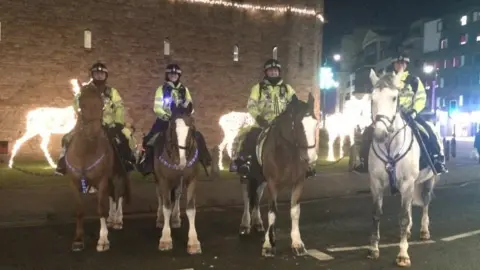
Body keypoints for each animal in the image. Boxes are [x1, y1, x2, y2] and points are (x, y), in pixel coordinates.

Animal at [65, 83, 131, 253]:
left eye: (101, 105)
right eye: (82, 104)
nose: (95, 132)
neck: (85, 152)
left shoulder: (102, 181)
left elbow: (101, 209)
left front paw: (103, 240)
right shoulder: (73, 183)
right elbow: (79, 210)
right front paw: (78, 239)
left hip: (118, 176)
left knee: (118, 195)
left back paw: (117, 220)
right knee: (113, 196)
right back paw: (111, 219)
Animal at [152, 104, 201, 254]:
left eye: (192, 128)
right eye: (173, 128)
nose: (182, 161)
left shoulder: (192, 179)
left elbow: (190, 209)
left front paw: (193, 242)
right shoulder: (164, 180)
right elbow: (166, 206)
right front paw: (165, 239)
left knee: (178, 195)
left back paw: (175, 219)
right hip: (158, 179)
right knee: (160, 197)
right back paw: (160, 219)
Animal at [240, 94, 318, 256]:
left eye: (316, 123)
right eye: (299, 125)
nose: (312, 158)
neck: (287, 153)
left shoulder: (298, 183)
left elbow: (295, 211)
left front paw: (297, 243)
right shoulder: (272, 183)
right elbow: (272, 211)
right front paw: (268, 244)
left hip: (261, 180)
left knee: (256, 197)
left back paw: (258, 223)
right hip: (246, 177)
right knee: (247, 198)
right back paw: (245, 225)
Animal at [366, 68, 436, 266]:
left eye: (394, 98)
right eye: (372, 98)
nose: (380, 134)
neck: (391, 146)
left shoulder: (406, 183)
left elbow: (403, 217)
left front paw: (403, 254)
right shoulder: (376, 183)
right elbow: (376, 214)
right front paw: (374, 249)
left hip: (427, 181)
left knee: (425, 203)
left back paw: (424, 230)